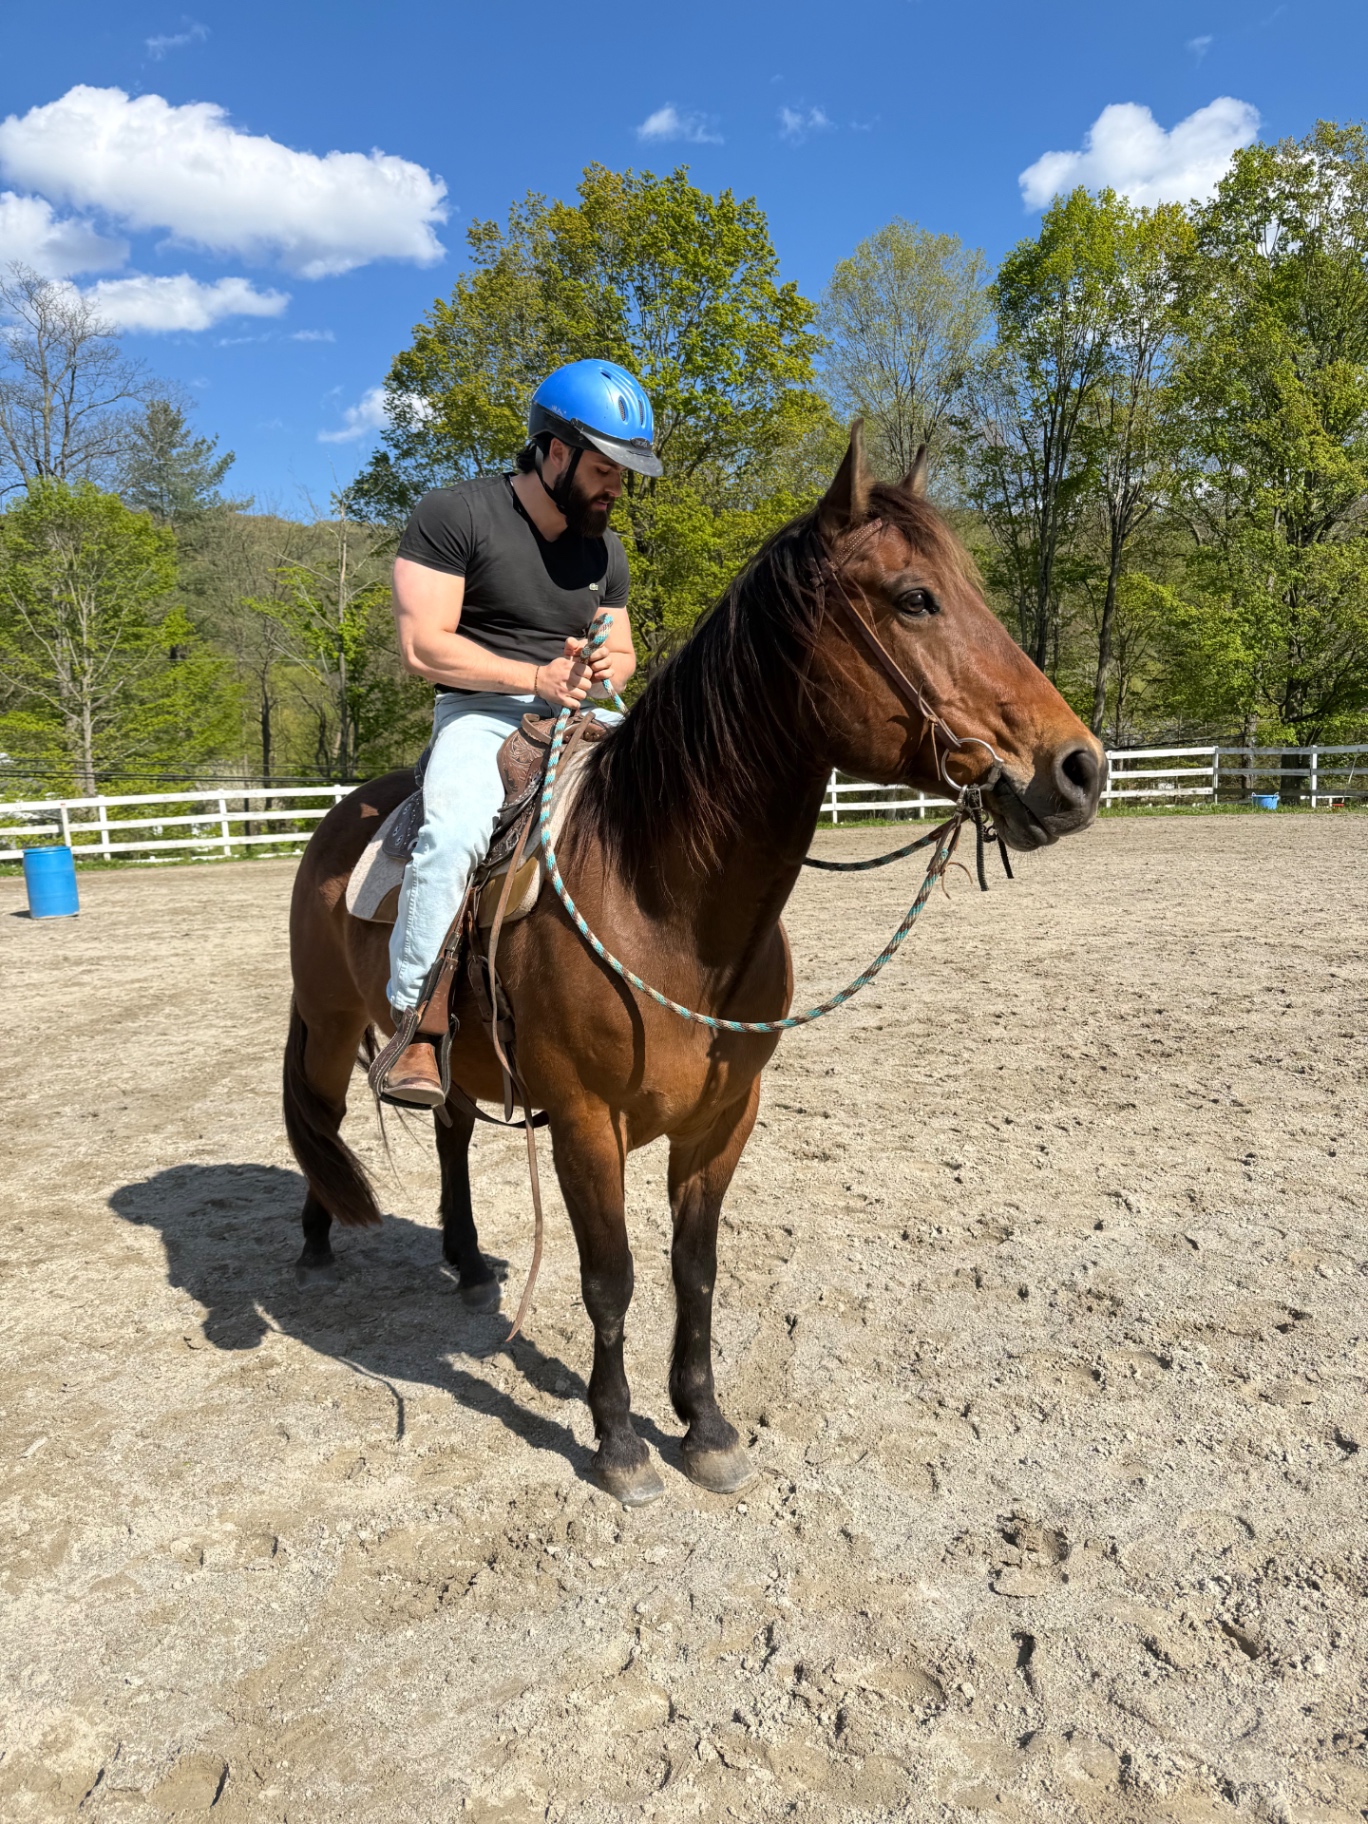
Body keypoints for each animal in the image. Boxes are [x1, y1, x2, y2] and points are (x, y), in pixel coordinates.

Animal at [283, 427, 1104, 1506]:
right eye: (915, 597)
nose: (1080, 770)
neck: (663, 903)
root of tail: (339, 817)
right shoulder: (585, 1124)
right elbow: (612, 1277)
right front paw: (619, 1440)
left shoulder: (724, 1119)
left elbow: (695, 1268)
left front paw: (705, 1424)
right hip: (331, 1018)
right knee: (321, 1111)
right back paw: (316, 1239)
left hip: (454, 1056)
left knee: (451, 1128)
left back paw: (462, 1260)